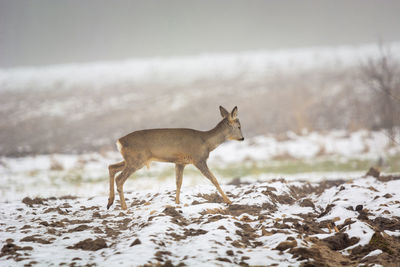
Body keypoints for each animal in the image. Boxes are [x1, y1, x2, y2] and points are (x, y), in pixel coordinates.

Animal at [107, 105, 244, 210]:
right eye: (239, 126)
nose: (242, 138)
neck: (207, 143)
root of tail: (119, 142)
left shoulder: (180, 162)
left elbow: (179, 182)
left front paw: (177, 203)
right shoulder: (198, 159)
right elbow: (214, 179)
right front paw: (229, 201)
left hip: (131, 160)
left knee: (111, 167)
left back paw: (110, 202)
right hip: (137, 160)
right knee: (119, 178)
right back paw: (124, 207)